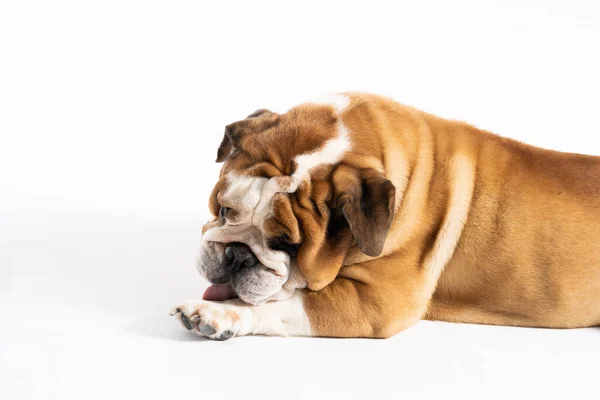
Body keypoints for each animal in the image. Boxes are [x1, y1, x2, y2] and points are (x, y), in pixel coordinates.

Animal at [169, 94, 600, 340]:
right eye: (224, 210)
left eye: (287, 245)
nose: (237, 254)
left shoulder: (376, 302)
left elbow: (281, 304)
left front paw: (219, 313)